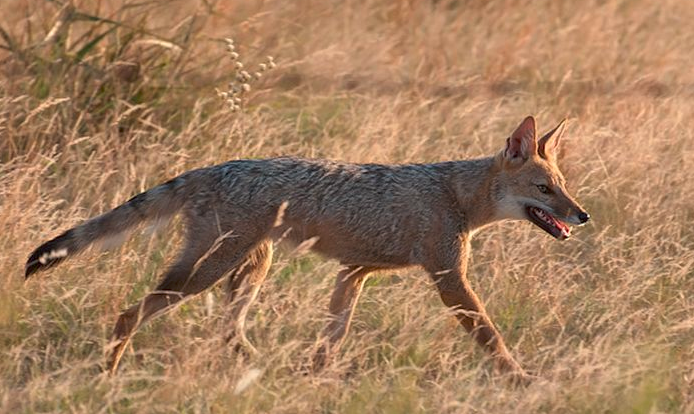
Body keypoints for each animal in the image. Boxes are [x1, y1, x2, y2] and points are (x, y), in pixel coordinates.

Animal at [25, 115, 588, 380]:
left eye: (563, 186)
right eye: (545, 190)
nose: (583, 216)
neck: (454, 193)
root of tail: (210, 168)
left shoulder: (353, 272)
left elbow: (330, 341)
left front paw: (318, 380)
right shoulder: (449, 279)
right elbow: (492, 337)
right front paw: (521, 381)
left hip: (250, 268)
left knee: (229, 332)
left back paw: (263, 368)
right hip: (209, 272)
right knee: (129, 315)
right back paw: (108, 376)